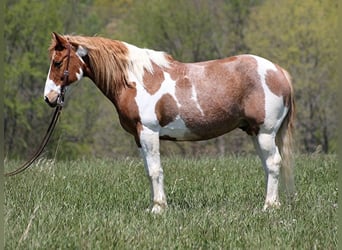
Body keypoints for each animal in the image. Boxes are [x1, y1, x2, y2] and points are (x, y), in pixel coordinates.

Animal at [43, 32, 294, 213]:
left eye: (57, 63)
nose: (49, 98)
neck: (136, 80)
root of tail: (280, 71)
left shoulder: (149, 132)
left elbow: (155, 170)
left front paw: (158, 209)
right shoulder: (138, 137)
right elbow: (148, 170)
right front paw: (156, 205)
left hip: (265, 132)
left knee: (273, 163)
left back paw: (268, 207)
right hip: (255, 132)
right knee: (268, 165)